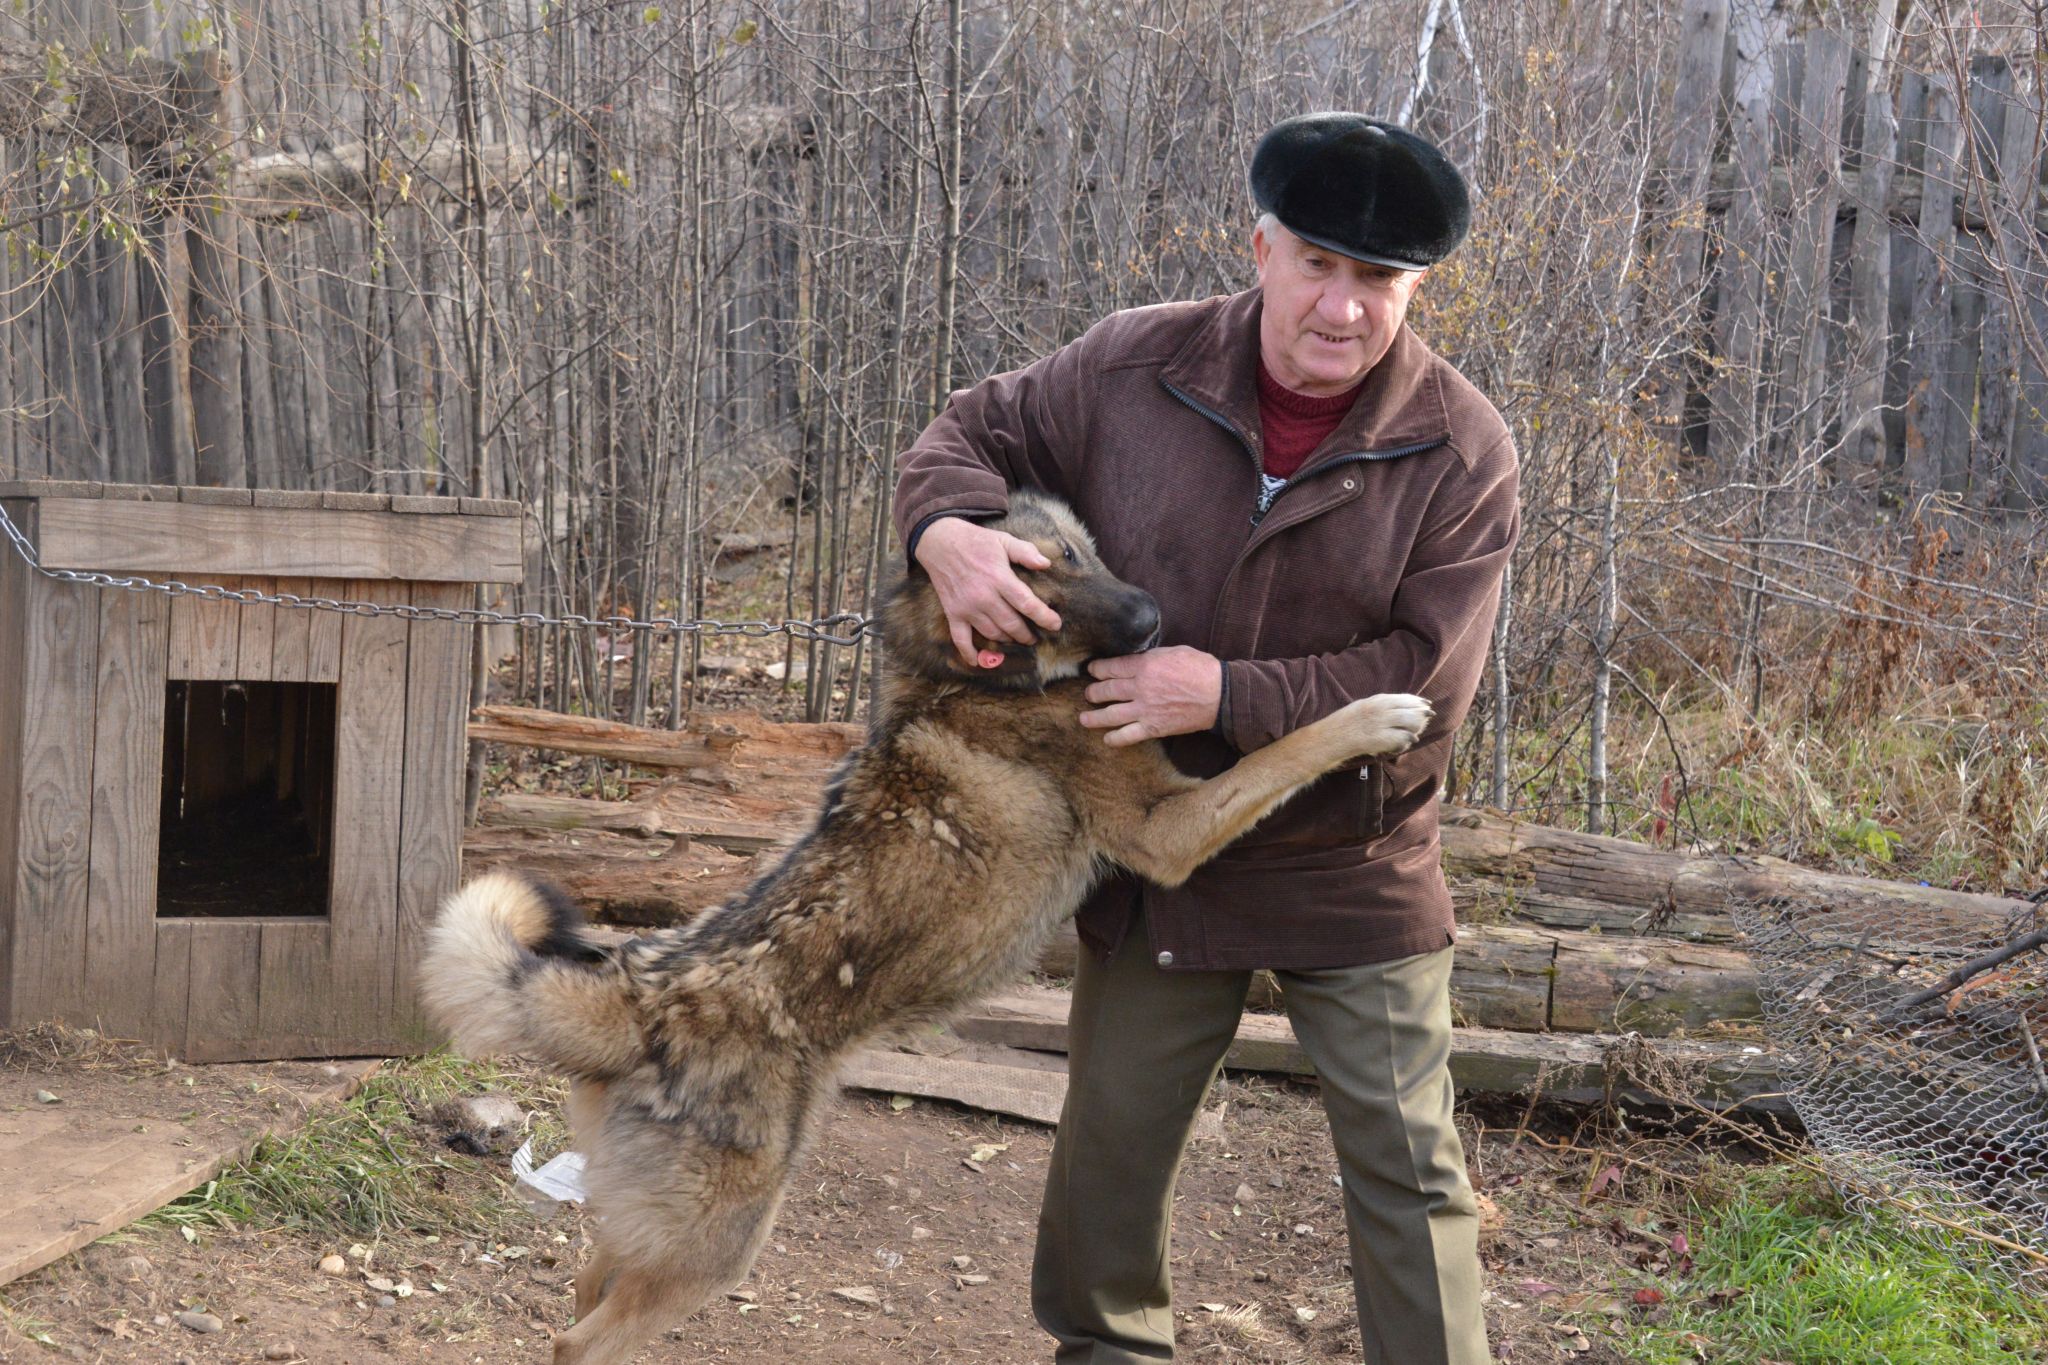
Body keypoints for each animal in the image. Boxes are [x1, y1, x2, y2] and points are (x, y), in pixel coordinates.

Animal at [423, 493, 1433, 1365]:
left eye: (1073, 557)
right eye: (1031, 606)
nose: (1152, 615)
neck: (970, 682)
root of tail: (639, 996)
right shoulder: (1170, 828)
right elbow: (1290, 748)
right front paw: (1376, 713)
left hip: (650, 1235)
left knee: (581, 1287)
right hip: (716, 1251)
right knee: (574, 1341)